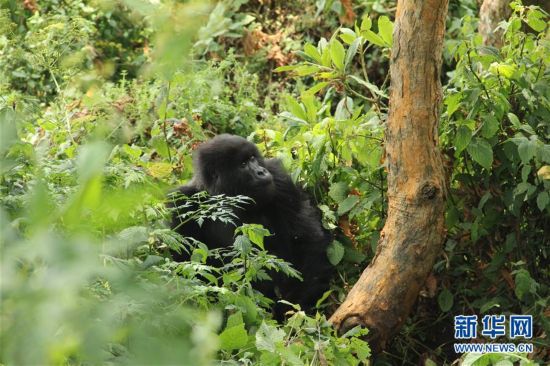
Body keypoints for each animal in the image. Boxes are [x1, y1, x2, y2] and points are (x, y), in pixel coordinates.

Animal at [168, 134, 332, 318]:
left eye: (252, 158)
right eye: (243, 165)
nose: (261, 171)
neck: (222, 195)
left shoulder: (279, 178)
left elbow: (308, 241)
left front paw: (292, 309)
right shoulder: (181, 203)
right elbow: (186, 267)